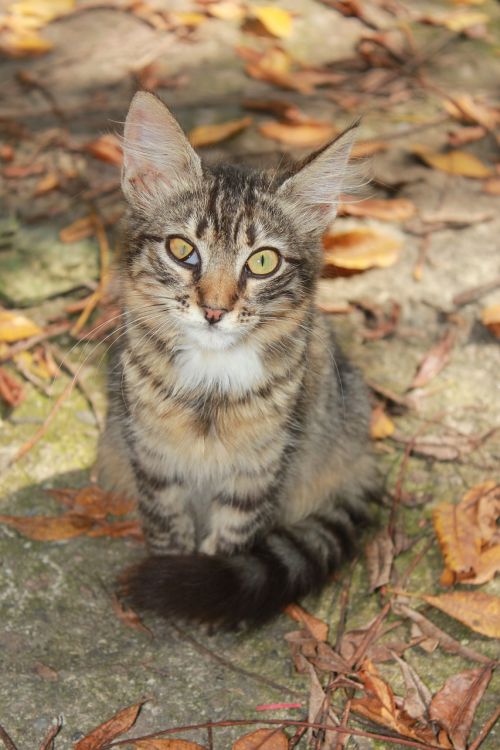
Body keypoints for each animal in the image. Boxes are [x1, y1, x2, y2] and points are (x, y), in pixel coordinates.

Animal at [97, 89, 376, 628]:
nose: (214, 310)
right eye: (182, 250)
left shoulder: (262, 465)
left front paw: (202, 588)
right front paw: (176, 572)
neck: (210, 378)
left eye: (263, 261)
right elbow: (167, 524)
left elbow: (233, 538)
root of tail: (364, 463)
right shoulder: (151, 454)